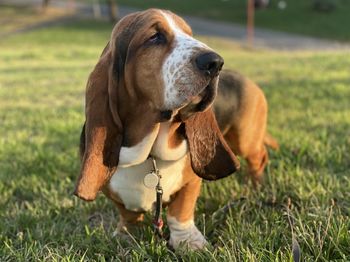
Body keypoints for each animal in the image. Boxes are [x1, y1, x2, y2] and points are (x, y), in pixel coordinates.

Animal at [75, 8, 278, 250]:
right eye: (155, 37)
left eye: (190, 34)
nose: (215, 63)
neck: (150, 154)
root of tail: (247, 79)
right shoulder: (115, 193)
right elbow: (127, 213)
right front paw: (126, 234)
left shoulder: (190, 183)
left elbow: (179, 212)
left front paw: (188, 242)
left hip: (245, 140)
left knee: (259, 157)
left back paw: (256, 185)